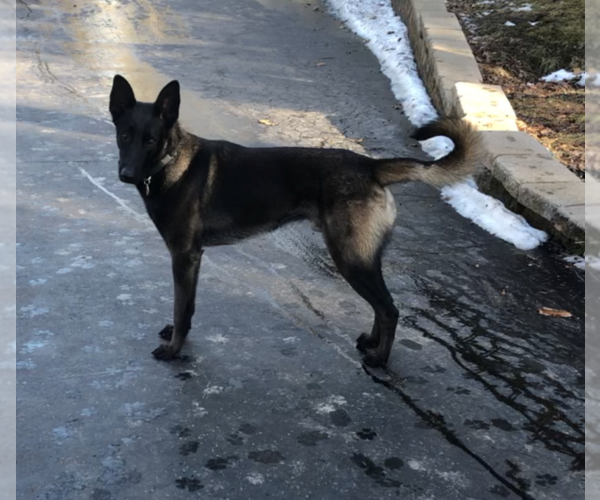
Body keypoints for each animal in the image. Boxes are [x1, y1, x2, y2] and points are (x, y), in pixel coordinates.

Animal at [108, 74, 482, 366]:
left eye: (151, 140)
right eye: (125, 135)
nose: (126, 174)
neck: (169, 161)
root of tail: (369, 166)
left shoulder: (184, 258)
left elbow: (180, 307)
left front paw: (174, 350)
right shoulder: (193, 261)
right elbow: (187, 308)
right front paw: (176, 335)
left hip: (350, 259)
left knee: (389, 308)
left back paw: (380, 359)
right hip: (362, 259)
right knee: (382, 305)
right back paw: (372, 344)